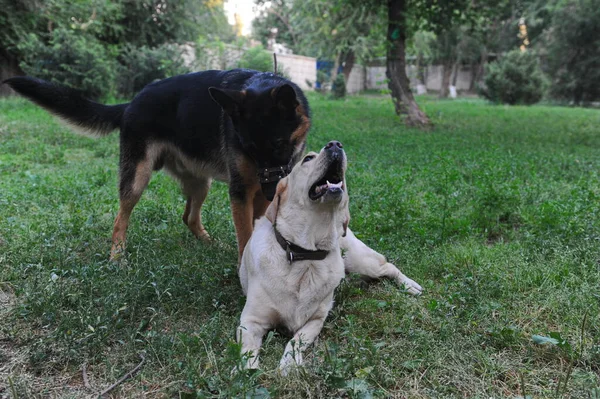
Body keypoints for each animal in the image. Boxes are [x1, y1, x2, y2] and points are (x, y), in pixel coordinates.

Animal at [4, 70, 312, 260]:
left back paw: (209, 243)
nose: (272, 190)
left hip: (201, 183)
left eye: (278, 144)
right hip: (137, 178)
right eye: (248, 148)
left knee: (189, 217)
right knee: (120, 218)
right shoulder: (242, 192)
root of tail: (130, 103)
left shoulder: (257, 192)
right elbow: (246, 234)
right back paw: (117, 256)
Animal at [237, 142, 420, 376]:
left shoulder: (316, 320)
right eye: (307, 158)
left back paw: (410, 285)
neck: (305, 255)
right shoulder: (250, 321)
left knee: (389, 266)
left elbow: (295, 341)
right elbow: (248, 349)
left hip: (361, 261)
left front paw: (289, 364)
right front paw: (245, 371)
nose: (335, 144)